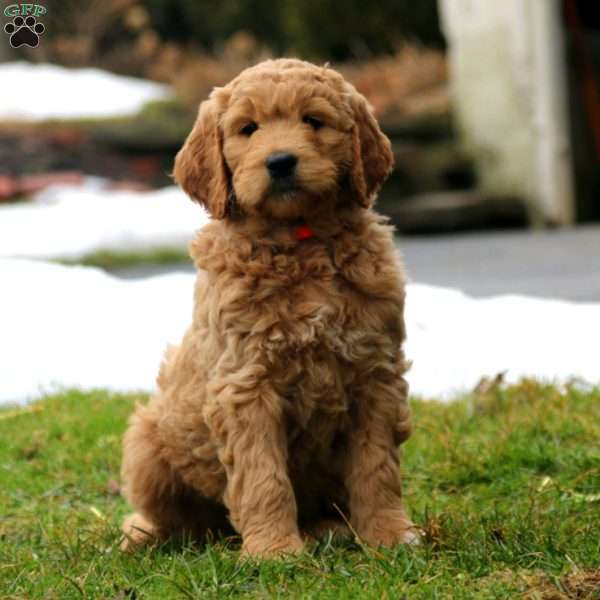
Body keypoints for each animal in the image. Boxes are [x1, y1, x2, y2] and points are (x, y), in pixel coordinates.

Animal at [119, 57, 414, 556]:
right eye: (248, 129)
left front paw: (389, 534)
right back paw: (144, 537)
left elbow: (377, 467)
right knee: (173, 518)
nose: (279, 161)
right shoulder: (246, 383)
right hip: (147, 442)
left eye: (313, 120)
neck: (300, 241)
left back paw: (327, 528)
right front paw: (274, 551)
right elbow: (263, 475)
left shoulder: (376, 375)